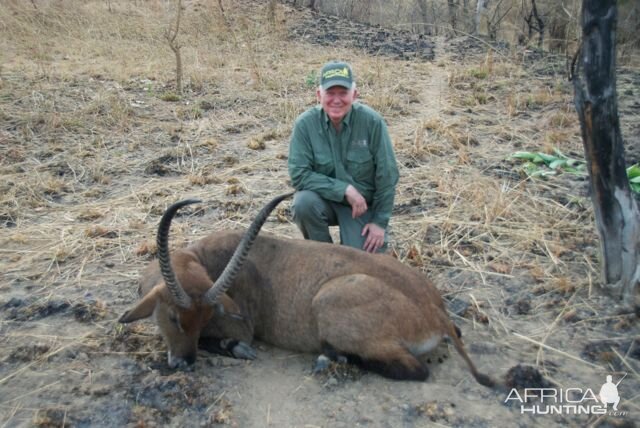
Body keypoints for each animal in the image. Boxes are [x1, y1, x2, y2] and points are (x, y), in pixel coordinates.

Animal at [120, 192, 496, 386]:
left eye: (203, 317)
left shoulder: (240, 327)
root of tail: (435, 312)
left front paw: (235, 349)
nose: (183, 363)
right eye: (175, 317)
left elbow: (225, 341)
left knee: (417, 370)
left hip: (328, 300)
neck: (204, 258)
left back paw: (330, 357)